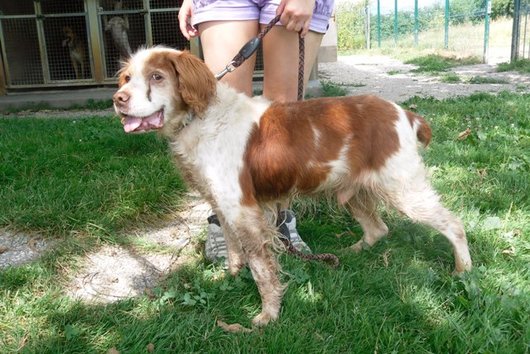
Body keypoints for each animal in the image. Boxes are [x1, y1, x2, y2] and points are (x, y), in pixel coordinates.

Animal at [112, 47, 470, 326]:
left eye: (157, 77)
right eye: (127, 78)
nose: (118, 99)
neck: (201, 118)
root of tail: (406, 114)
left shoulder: (244, 211)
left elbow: (262, 270)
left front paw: (268, 315)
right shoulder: (222, 205)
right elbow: (233, 250)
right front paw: (230, 277)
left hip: (403, 189)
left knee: (454, 224)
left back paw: (462, 270)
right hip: (352, 191)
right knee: (378, 228)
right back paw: (347, 254)